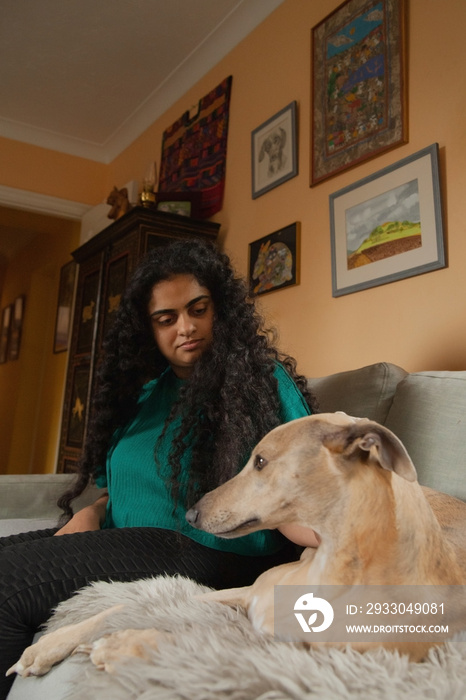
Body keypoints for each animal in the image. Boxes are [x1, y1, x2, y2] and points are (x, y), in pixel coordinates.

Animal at [7, 410, 466, 680]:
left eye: (260, 461)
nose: (191, 515)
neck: (330, 568)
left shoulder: (321, 659)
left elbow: (202, 645)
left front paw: (124, 644)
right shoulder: (239, 593)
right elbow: (120, 606)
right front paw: (50, 645)